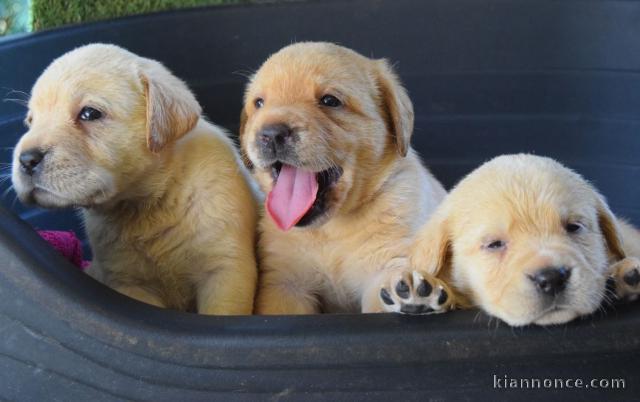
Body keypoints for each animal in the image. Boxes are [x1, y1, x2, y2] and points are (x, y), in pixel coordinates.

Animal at [11, 43, 258, 314]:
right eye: (31, 120)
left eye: (89, 113)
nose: (26, 160)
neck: (153, 202)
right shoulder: (129, 283)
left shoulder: (225, 271)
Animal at [239, 42, 444, 316]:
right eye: (259, 103)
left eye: (329, 101)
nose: (270, 134)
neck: (329, 231)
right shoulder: (284, 284)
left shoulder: (387, 268)